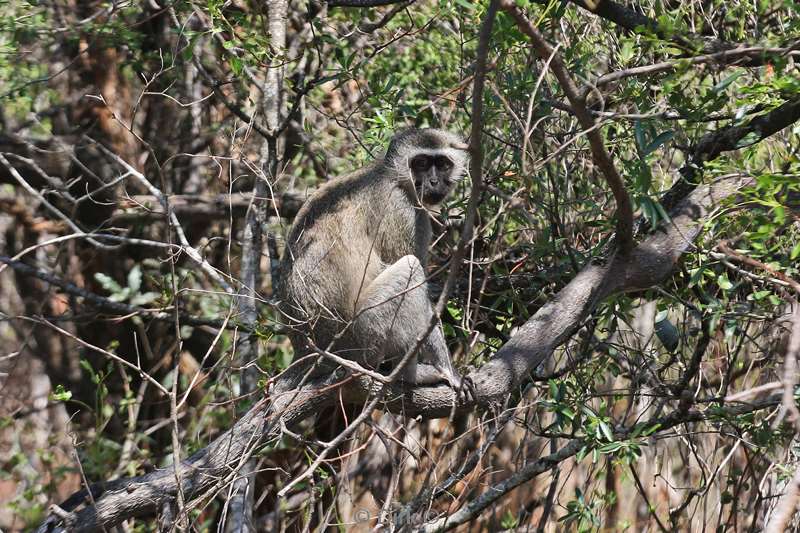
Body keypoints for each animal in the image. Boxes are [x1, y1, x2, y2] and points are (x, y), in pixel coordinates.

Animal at [280, 124, 472, 390]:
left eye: (443, 164)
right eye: (421, 163)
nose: (433, 182)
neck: (394, 176)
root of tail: (309, 355)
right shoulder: (402, 211)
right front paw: (449, 370)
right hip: (365, 334)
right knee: (410, 268)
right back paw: (407, 375)